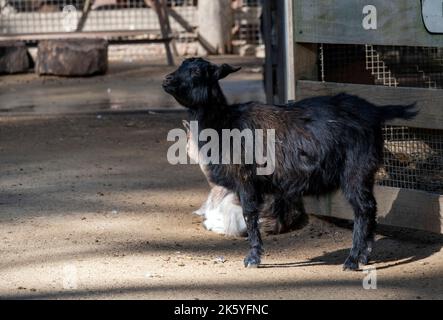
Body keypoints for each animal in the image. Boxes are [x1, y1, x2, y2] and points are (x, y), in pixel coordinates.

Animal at [161, 57, 418, 270]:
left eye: (196, 71)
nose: (167, 80)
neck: (224, 122)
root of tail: (375, 111)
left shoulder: (245, 179)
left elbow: (249, 215)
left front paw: (253, 258)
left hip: (355, 170)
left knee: (363, 209)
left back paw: (353, 260)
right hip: (366, 173)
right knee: (370, 207)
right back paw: (364, 256)